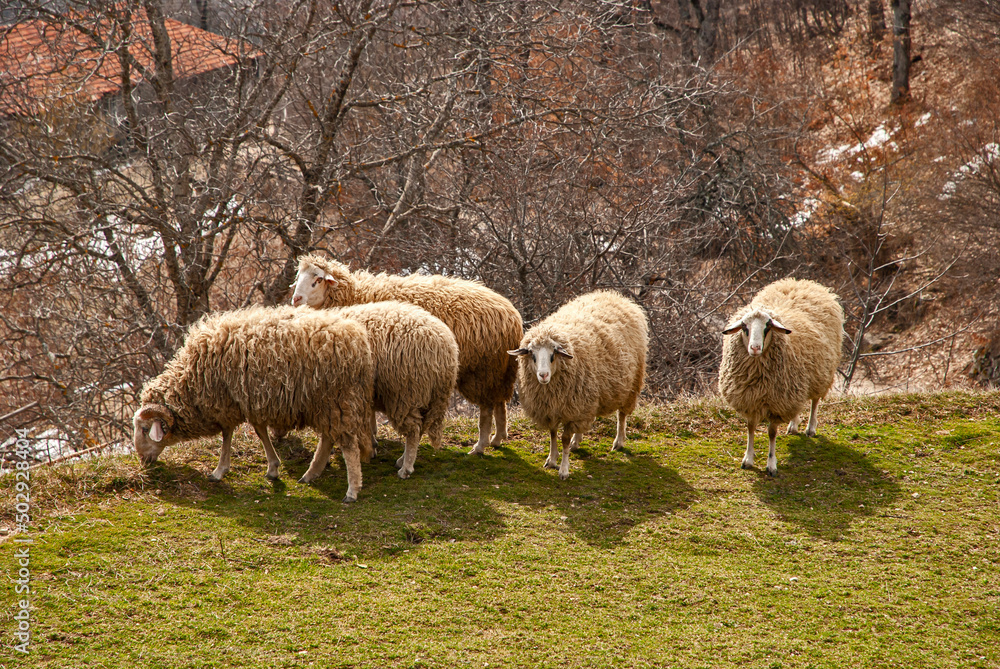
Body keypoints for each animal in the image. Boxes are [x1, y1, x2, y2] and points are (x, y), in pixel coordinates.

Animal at [133, 302, 376, 500]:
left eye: (145, 429)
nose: (143, 461)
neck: (192, 378)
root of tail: (358, 342)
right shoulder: (251, 401)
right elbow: (260, 431)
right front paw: (273, 468)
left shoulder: (228, 402)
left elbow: (227, 434)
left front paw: (219, 471)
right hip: (327, 403)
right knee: (328, 438)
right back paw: (311, 474)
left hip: (337, 399)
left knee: (348, 445)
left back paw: (352, 490)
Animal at [290, 254, 524, 454]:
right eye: (298, 277)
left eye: (318, 279)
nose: (296, 299)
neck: (355, 294)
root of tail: (512, 316)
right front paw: (373, 437)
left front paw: (372, 438)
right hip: (500, 370)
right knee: (500, 402)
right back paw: (498, 438)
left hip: (481, 370)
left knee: (486, 408)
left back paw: (480, 445)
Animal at [292, 300, 458, 478]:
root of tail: (447, 348)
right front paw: (372, 446)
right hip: (428, 397)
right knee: (420, 428)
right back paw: (402, 459)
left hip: (405, 393)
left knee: (414, 431)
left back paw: (405, 468)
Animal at [508, 290, 648, 478]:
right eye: (532, 354)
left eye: (553, 354)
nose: (543, 375)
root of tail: (614, 295)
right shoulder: (552, 408)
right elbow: (553, 434)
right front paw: (552, 460)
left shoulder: (571, 408)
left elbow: (564, 439)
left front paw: (564, 469)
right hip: (586, 401)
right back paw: (577, 441)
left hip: (630, 384)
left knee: (622, 415)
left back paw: (618, 442)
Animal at [720, 276, 844, 474]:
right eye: (745, 327)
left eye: (767, 327)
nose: (755, 348)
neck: (757, 379)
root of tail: (802, 282)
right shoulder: (751, 400)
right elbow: (750, 428)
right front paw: (748, 459)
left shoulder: (777, 404)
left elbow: (771, 433)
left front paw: (771, 464)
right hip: (795, 385)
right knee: (798, 404)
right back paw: (793, 425)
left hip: (820, 374)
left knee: (815, 401)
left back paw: (810, 428)